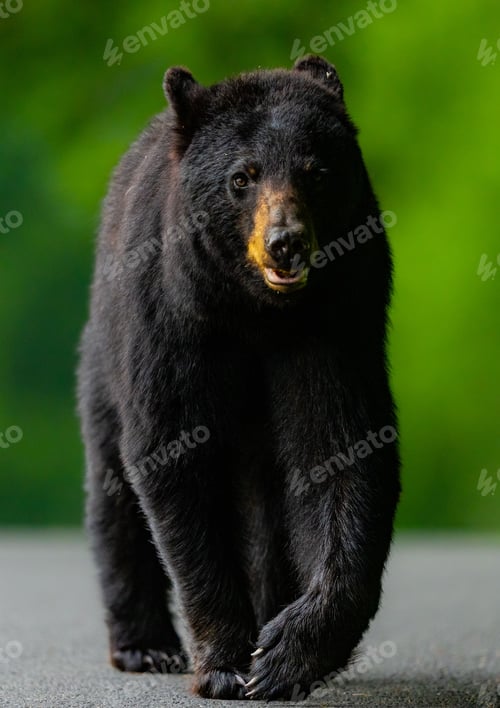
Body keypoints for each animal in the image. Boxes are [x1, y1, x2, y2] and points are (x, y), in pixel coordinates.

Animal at [77, 55, 401, 701]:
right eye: (241, 178)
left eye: (316, 171)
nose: (286, 243)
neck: (254, 313)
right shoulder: (172, 319)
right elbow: (172, 456)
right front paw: (225, 662)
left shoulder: (337, 322)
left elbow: (341, 446)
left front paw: (286, 654)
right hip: (103, 360)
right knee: (113, 489)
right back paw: (144, 643)